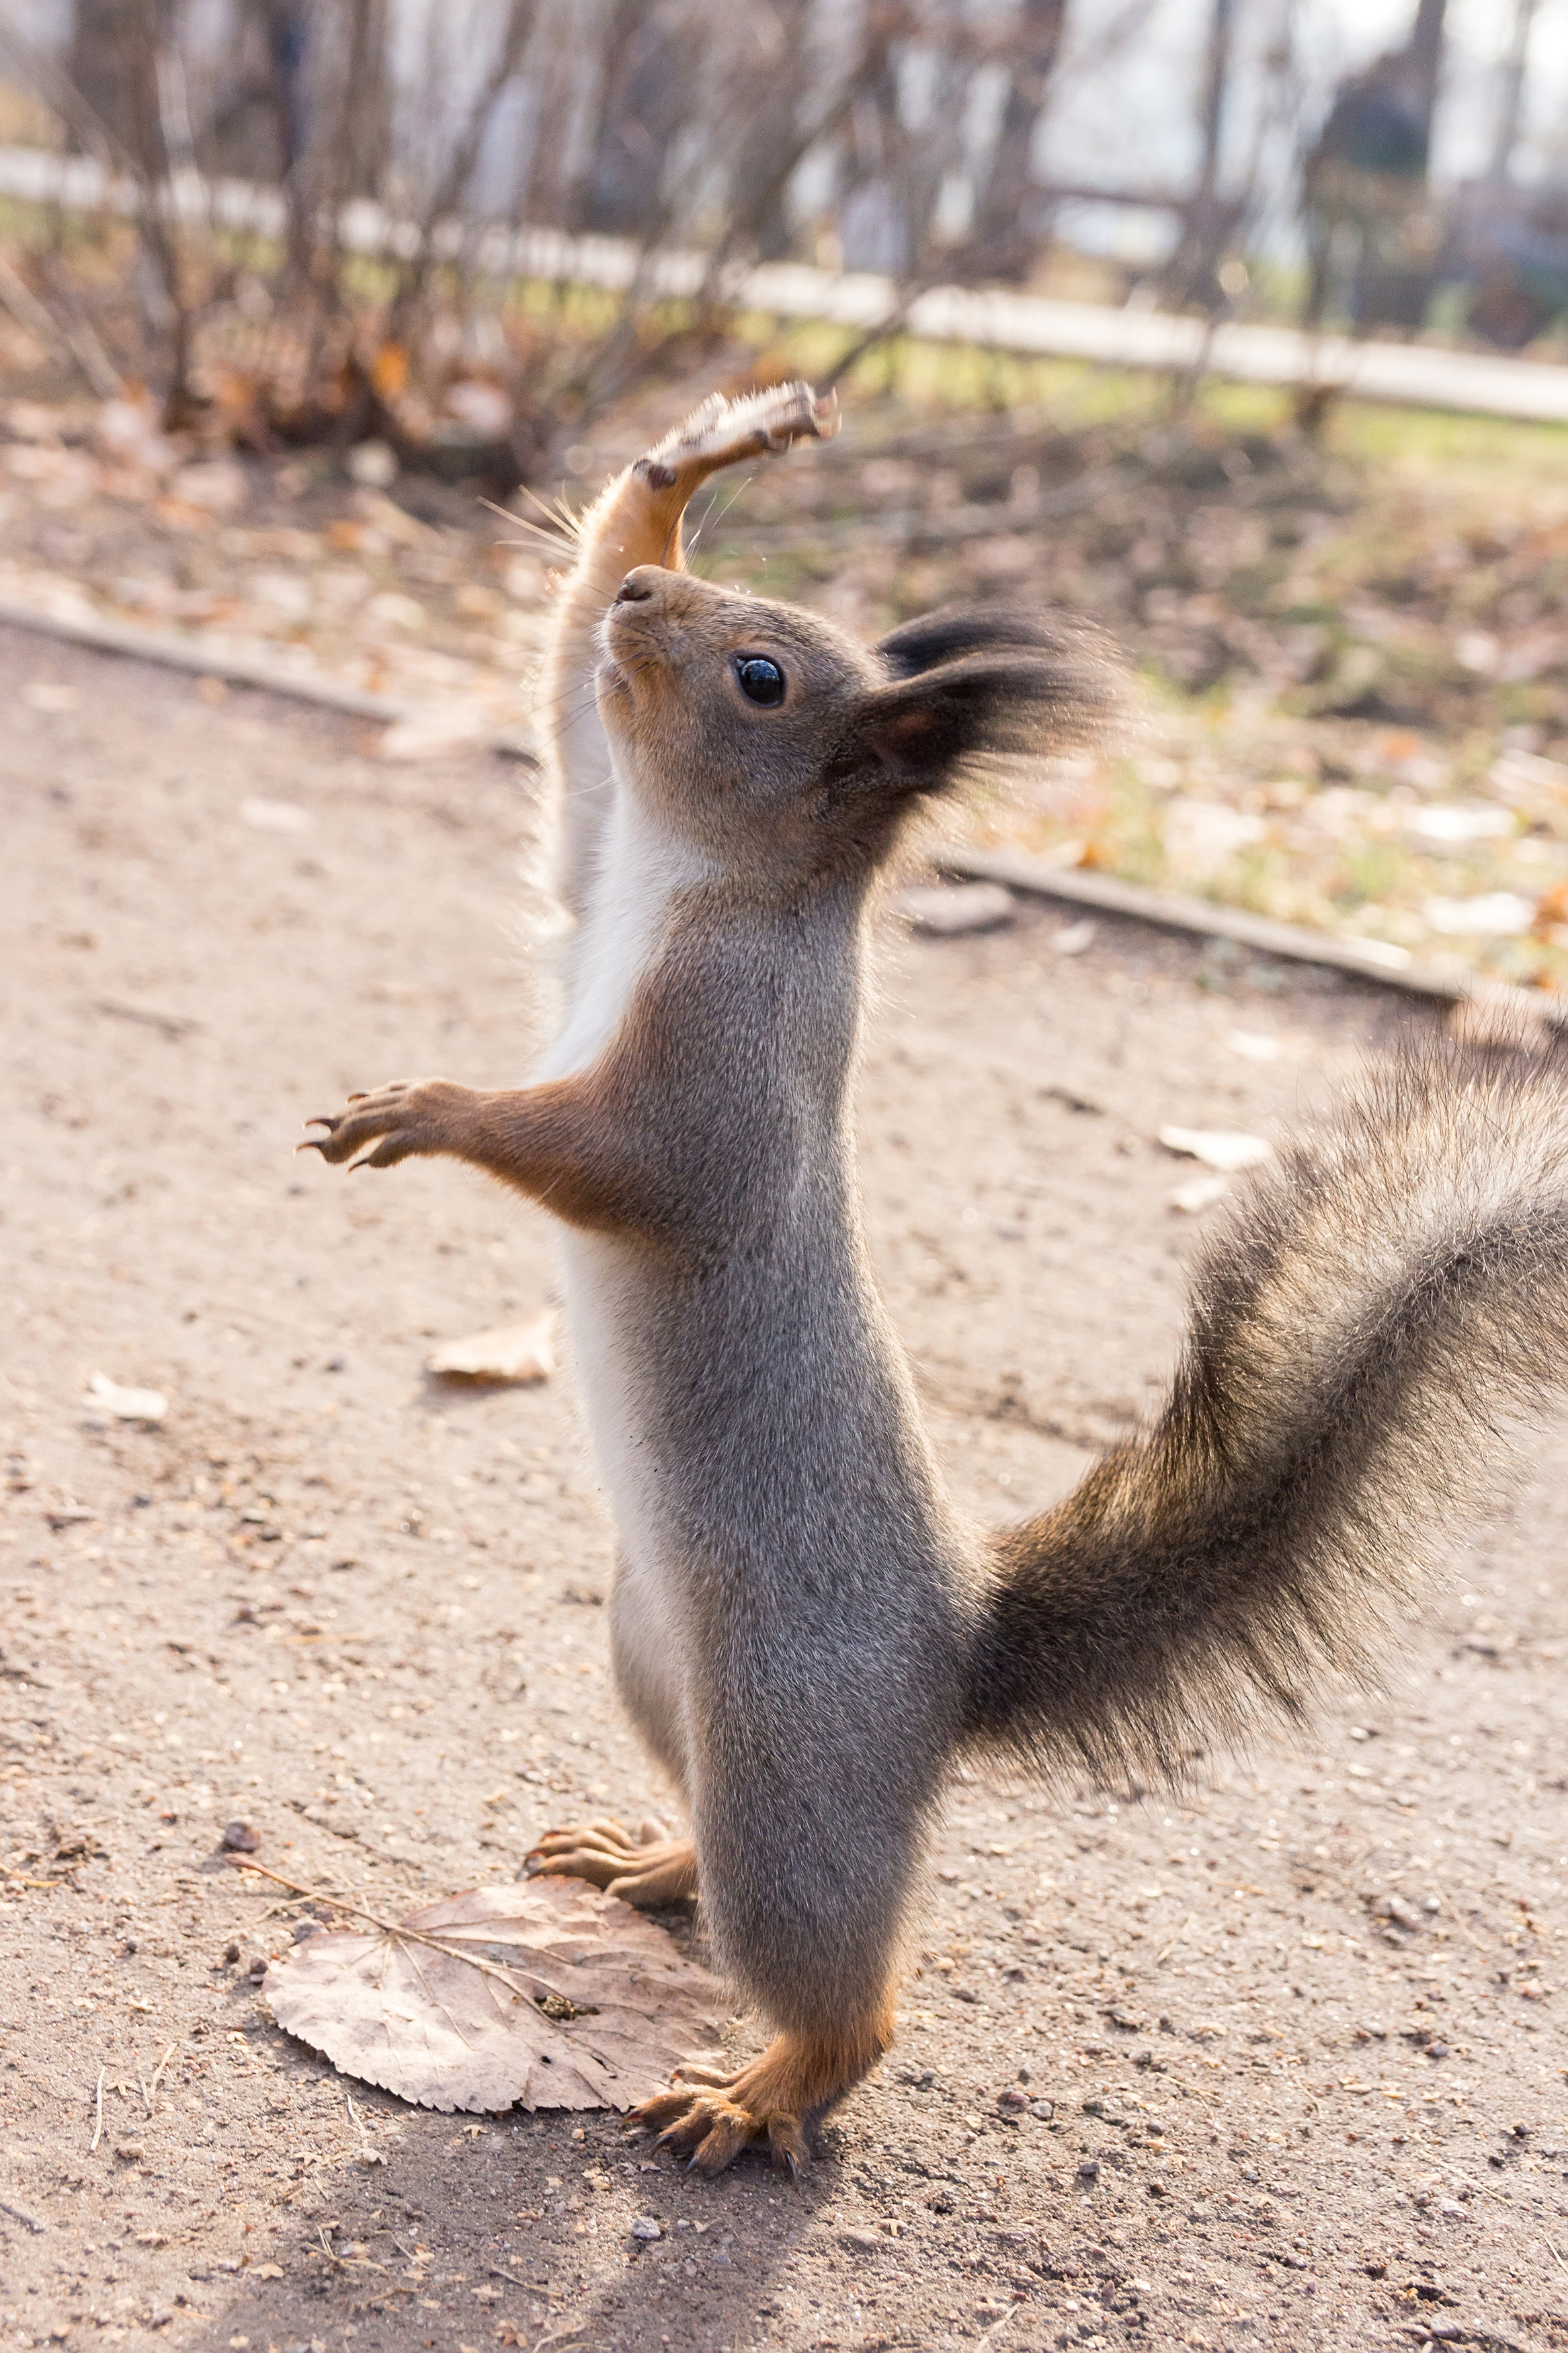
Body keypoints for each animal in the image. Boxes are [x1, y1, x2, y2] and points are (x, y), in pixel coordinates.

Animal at [303, 381, 1568, 2165]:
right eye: (704, 605)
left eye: (762, 679)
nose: (648, 597)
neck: (692, 882)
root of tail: (952, 1656)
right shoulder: (593, 853)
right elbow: (563, 718)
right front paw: (701, 455)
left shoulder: (715, 1078)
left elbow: (627, 1163)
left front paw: (424, 1109)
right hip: (649, 1661)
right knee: (706, 1826)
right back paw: (652, 1863)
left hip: (793, 1766)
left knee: (844, 1984)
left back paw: (764, 2089)